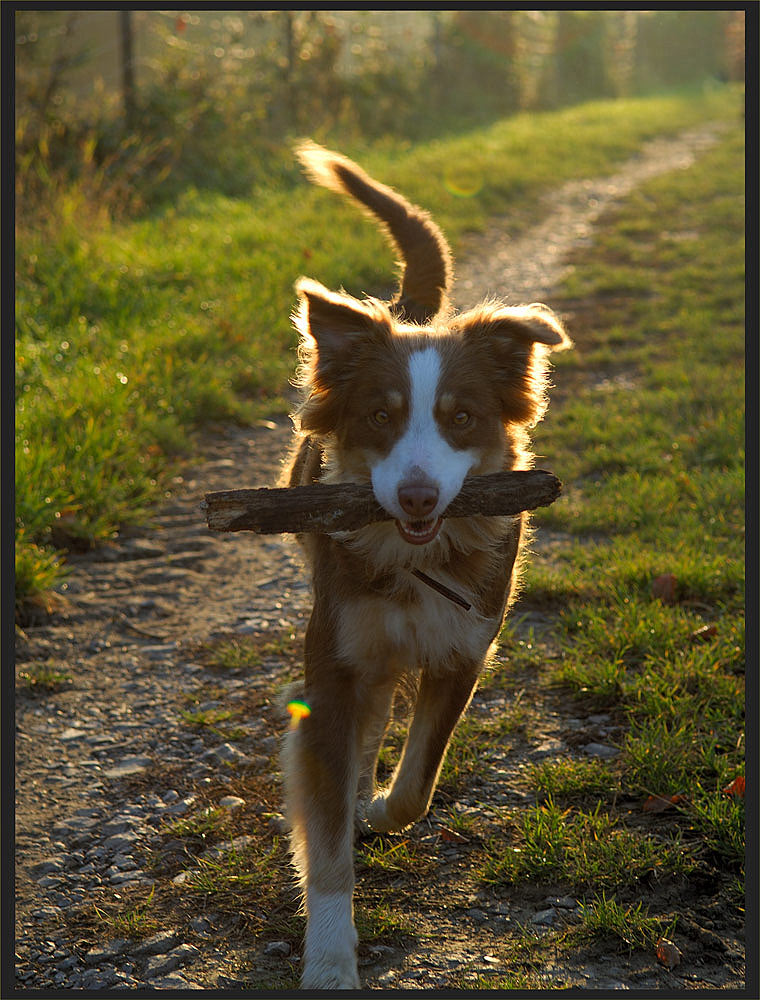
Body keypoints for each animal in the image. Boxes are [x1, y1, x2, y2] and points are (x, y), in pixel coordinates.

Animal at [282, 143, 568, 992]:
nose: (414, 496)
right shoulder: (336, 659)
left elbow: (419, 782)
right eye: (380, 416)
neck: (414, 559)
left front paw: (379, 809)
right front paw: (331, 959)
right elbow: (327, 830)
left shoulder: (463, 649)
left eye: (461, 418)